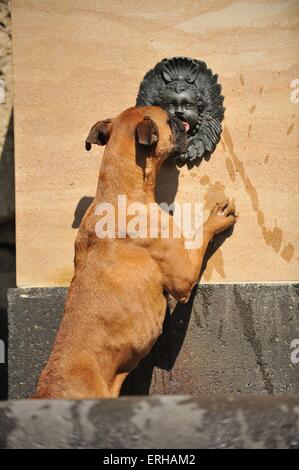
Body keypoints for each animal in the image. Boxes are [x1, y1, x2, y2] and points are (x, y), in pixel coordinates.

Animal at [35, 105, 237, 396]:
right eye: (169, 120)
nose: (182, 119)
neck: (118, 191)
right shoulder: (183, 277)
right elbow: (200, 235)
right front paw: (217, 219)